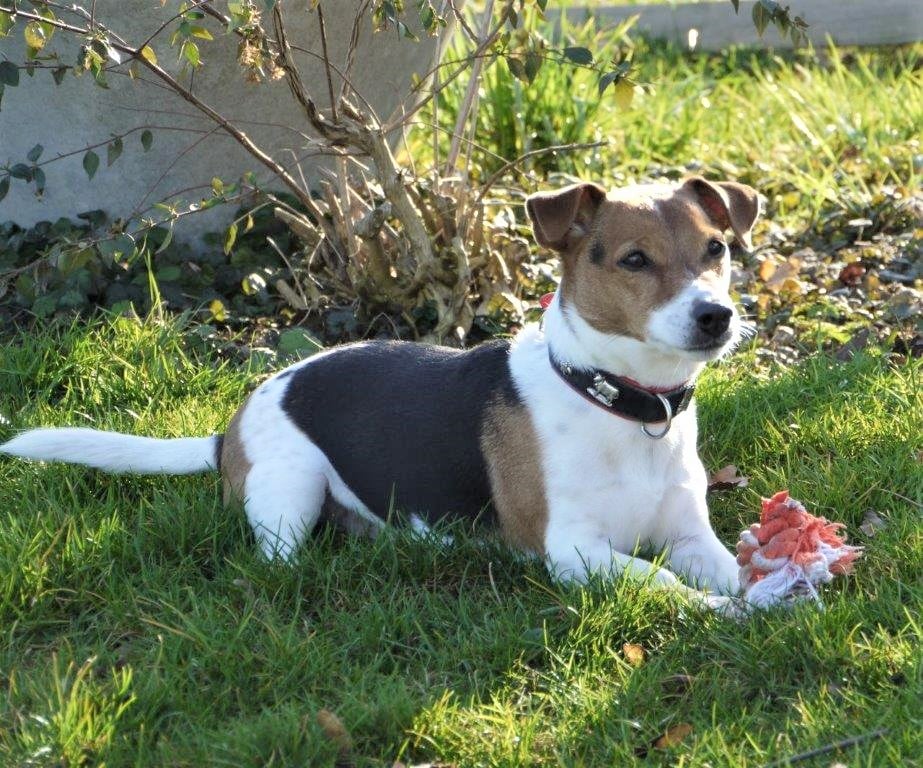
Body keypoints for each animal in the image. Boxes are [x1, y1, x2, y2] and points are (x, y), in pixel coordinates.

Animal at [0, 176, 759, 610]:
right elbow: (662, 583)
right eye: (634, 260)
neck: (621, 402)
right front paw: (722, 613)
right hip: (292, 487)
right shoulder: (570, 549)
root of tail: (228, 430)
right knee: (278, 556)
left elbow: (730, 566)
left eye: (717, 249)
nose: (715, 316)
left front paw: (765, 599)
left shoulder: (690, 532)